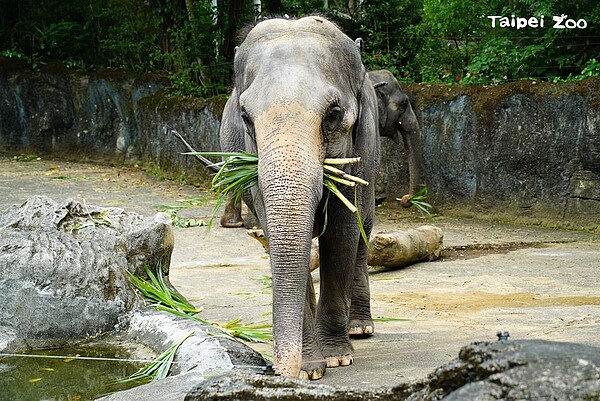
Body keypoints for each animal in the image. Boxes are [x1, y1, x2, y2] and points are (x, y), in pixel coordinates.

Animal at [218, 16, 380, 378]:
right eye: (245, 117)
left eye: (334, 113)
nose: (280, 371)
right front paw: (310, 368)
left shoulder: (362, 145)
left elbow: (342, 232)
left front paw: (337, 357)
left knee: (364, 229)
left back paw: (360, 328)